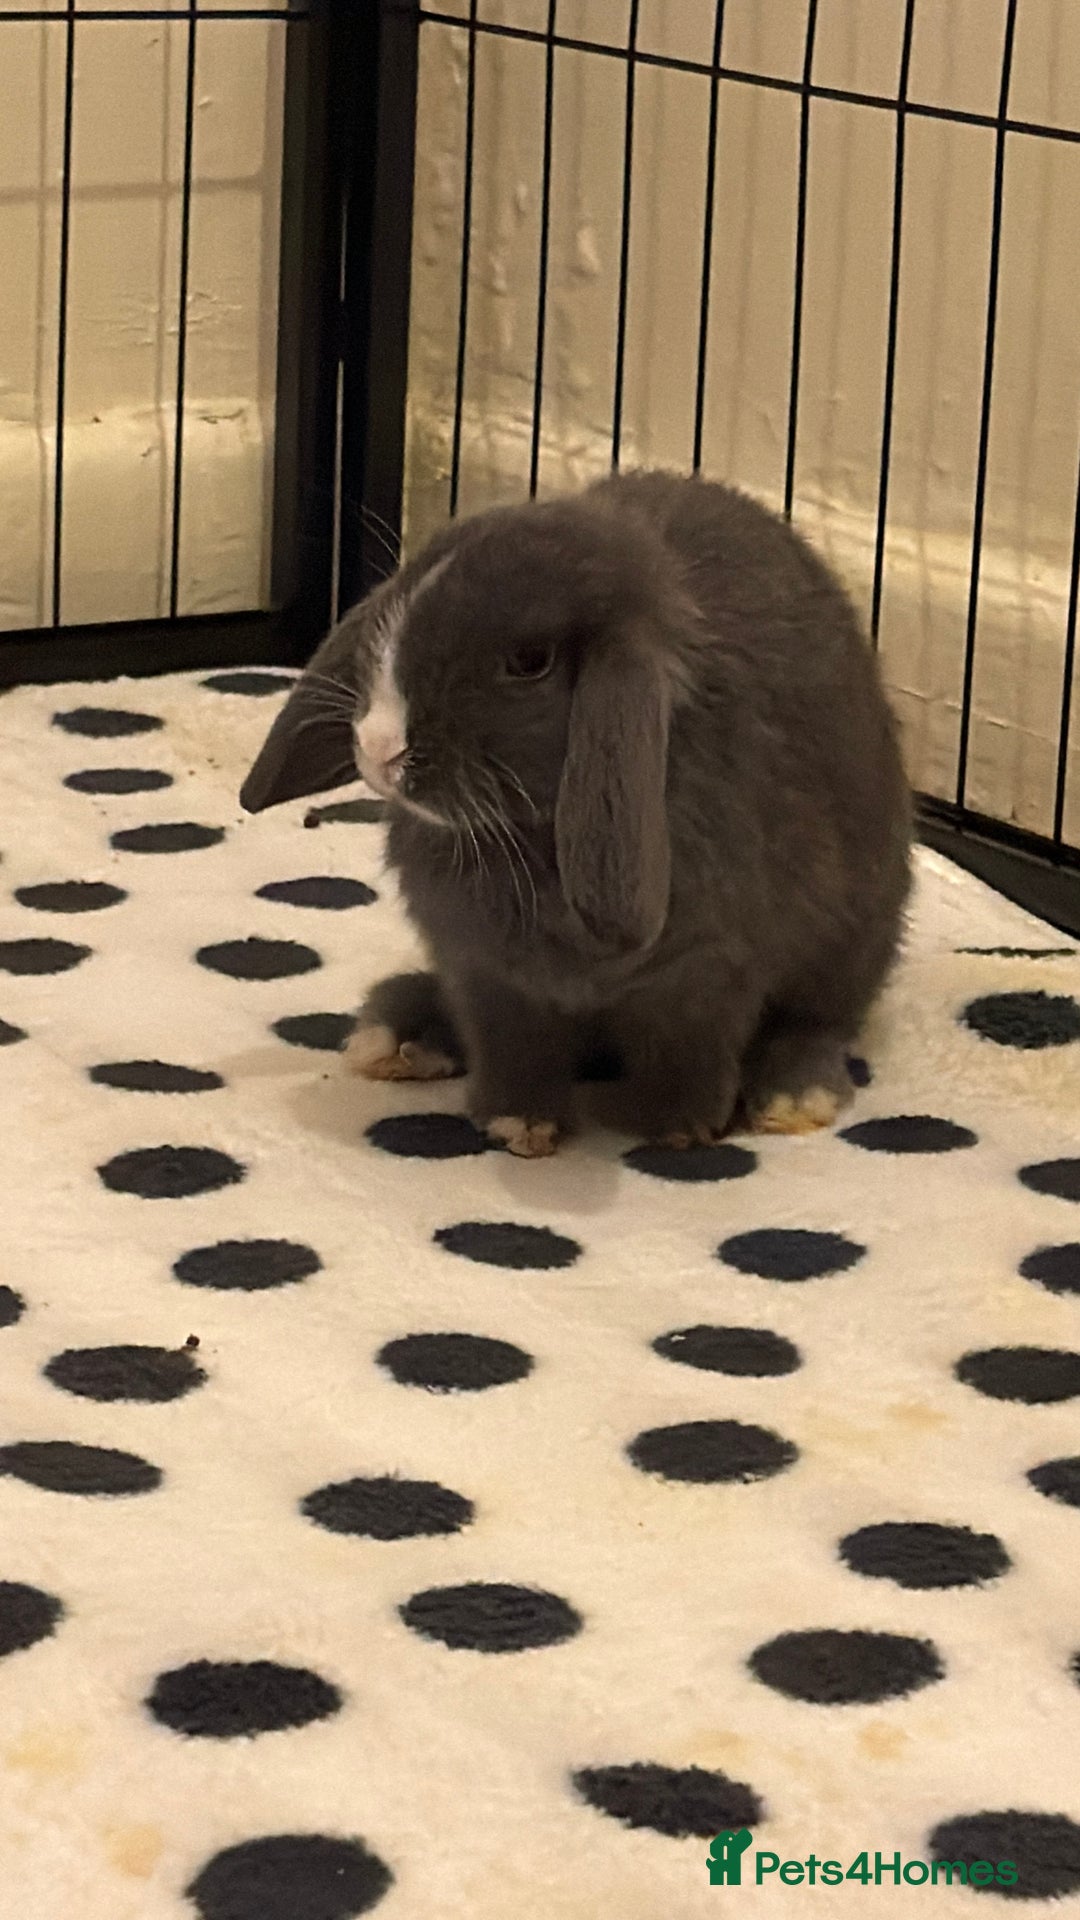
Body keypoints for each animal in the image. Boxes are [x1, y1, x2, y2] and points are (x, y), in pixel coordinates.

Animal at [240, 470, 912, 1156]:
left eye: (530, 661)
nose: (379, 747)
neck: (529, 838)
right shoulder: (485, 973)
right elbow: (511, 1046)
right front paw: (516, 1125)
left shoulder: (705, 974)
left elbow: (688, 1051)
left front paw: (679, 1127)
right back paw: (400, 1037)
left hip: (853, 943)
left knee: (818, 1023)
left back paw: (793, 1097)